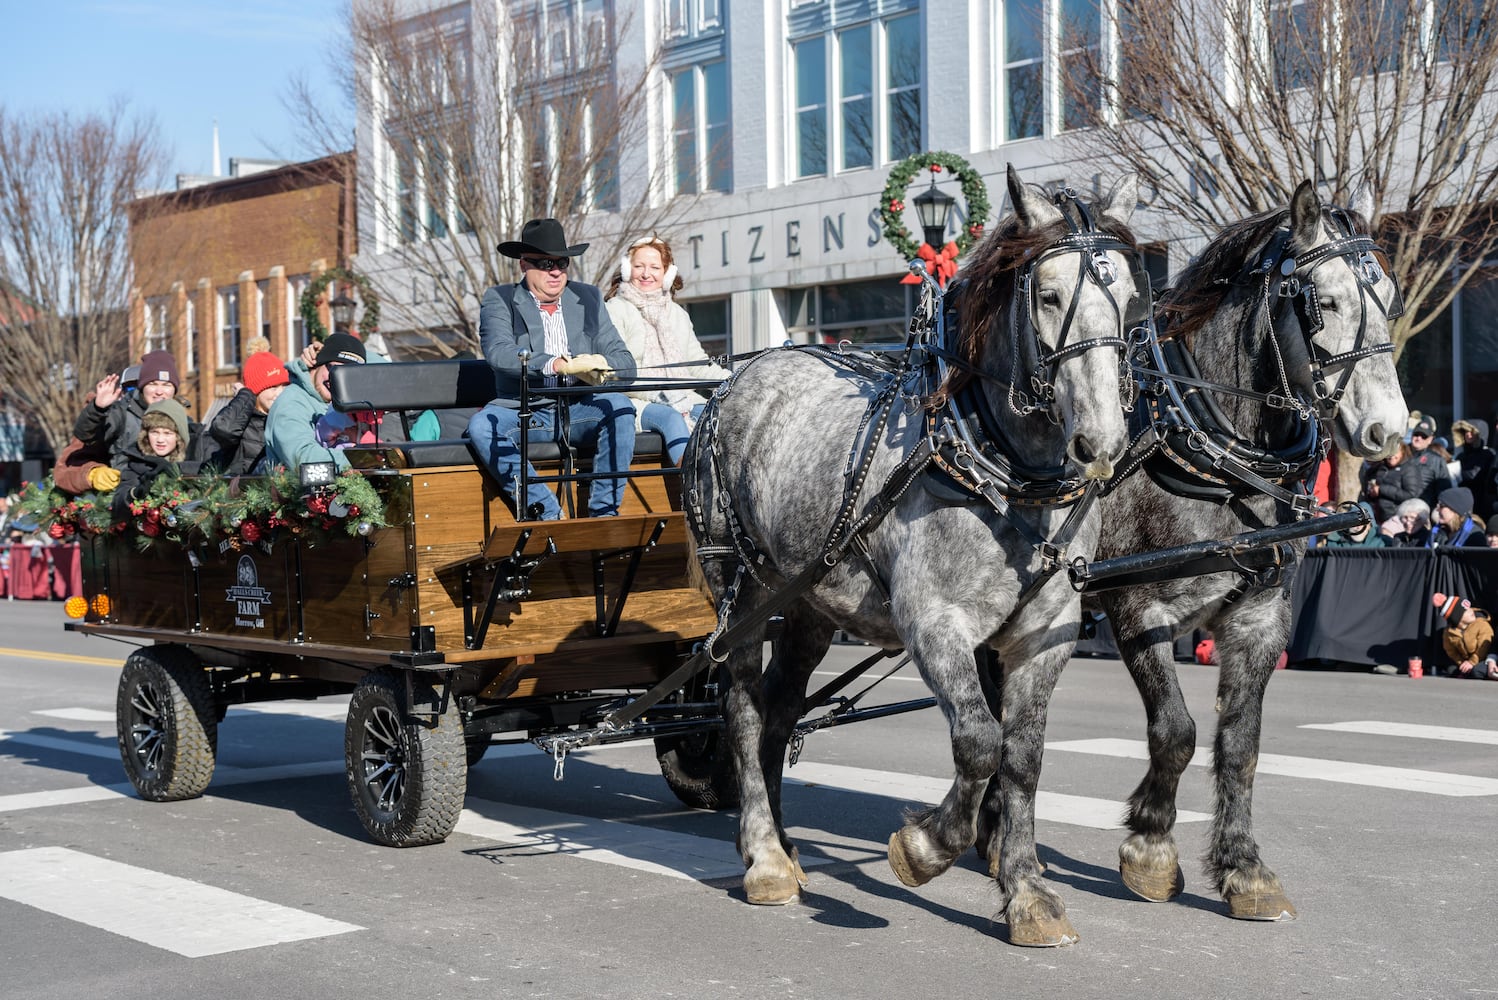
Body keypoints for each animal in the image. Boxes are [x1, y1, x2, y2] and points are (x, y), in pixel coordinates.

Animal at [686, 167, 1138, 952]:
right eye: (1049, 296)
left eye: (1133, 298)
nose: (1102, 442)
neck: (992, 462)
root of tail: (733, 382)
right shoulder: (934, 622)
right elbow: (979, 742)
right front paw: (925, 848)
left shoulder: (1044, 634)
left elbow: (1022, 758)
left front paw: (1028, 893)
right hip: (740, 591)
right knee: (741, 708)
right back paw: (765, 858)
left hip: (809, 604)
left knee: (780, 709)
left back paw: (780, 842)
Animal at [976, 179, 1408, 928]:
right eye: (1324, 301)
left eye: (1389, 296)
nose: (1391, 429)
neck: (1215, 450)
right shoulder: (1136, 605)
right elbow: (1175, 730)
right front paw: (1150, 849)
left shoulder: (1262, 615)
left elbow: (1241, 744)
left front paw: (1244, 868)